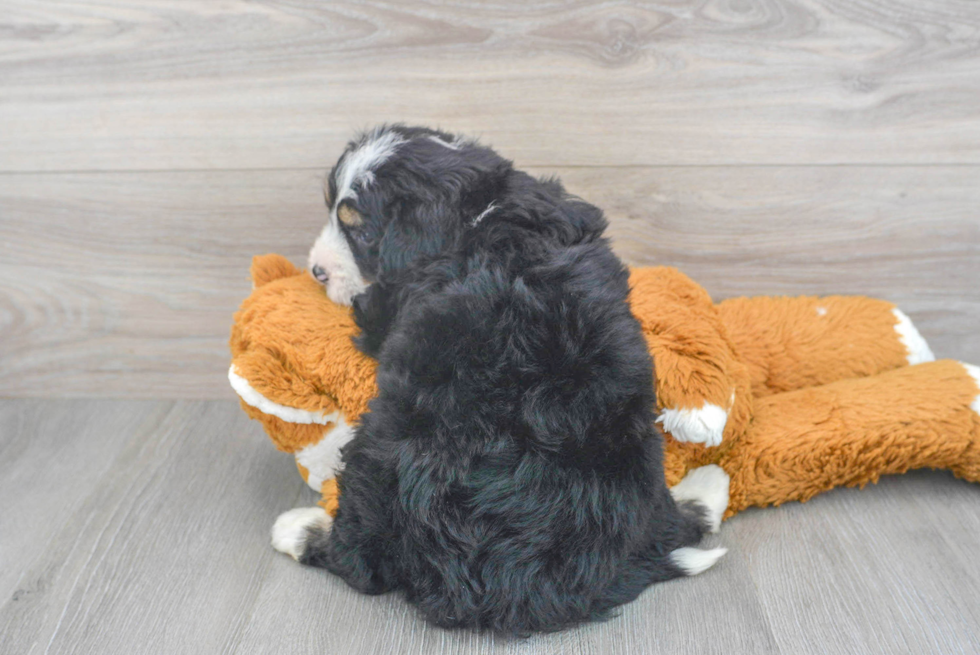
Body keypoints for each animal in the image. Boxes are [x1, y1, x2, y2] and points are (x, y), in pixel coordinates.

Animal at [272, 125, 724, 632]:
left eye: (361, 231)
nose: (316, 271)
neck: (477, 207)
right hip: (639, 455)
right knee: (670, 523)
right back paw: (707, 486)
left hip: (377, 454)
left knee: (360, 559)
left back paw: (299, 529)